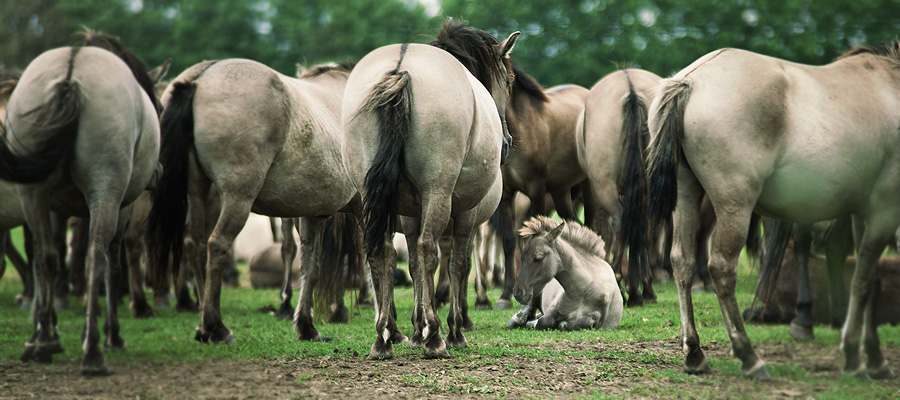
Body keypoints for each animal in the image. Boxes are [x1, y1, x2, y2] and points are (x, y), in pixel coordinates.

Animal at [0, 30, 162, 376]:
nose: (157, 173)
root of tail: (70, 73)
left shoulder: (53, 208)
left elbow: (50, 258)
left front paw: (43, 330)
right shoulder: (121, 206)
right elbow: (112, 265)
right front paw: (109, 334)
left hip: (32, 194)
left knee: (46, 258)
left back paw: (42, 343)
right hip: (106, 190)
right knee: (95, 258)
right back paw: (93, 352)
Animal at [146, 58, 360, 344]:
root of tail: (200, 77)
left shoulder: (312, 213)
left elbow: (311, 266)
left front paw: (306, 326)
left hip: (196, 192)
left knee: (194, 244)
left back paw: (203, 321)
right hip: (238, 197)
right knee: (218, 244)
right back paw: (216, 326)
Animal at [342, 19, 516, 360]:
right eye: (508, 81)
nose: (506, 143)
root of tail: (400, 71)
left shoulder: (408, 213)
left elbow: (412, 266)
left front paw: (416, 327)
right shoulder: (465, 213)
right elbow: (458, 264)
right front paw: (452, 330)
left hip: (372, 200)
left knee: (381, 251)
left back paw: (383, 338)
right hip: (438, 191)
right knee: (428, 248)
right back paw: (435, 336)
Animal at [576, 69, 660, 306]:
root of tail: (630, 88)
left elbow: (605, 232)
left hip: (604, 186)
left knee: (621, 224)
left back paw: (624, 283)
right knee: (644, 228)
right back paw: (640, 289)